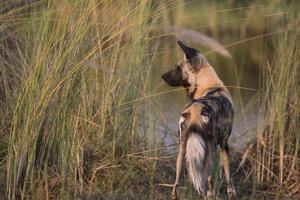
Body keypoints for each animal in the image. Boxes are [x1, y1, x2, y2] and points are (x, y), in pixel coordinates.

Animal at [162, 41, 237, 199]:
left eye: (177, 68)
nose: (162, 76)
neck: (210, 85)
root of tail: (196, 108)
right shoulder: (224, 144)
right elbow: (229, 178)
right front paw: (231, 193)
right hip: (210, 150)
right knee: (205, 180)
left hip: (182, 150)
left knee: (176, 184)